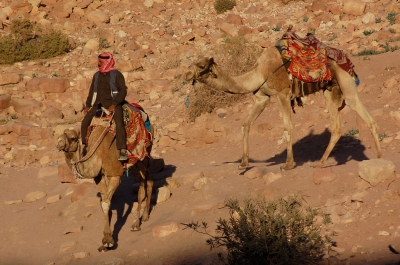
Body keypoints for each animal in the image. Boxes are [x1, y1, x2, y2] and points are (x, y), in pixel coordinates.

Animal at [57, 122, 154, 251]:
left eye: (72, 138)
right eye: (59, 135)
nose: (59, 142)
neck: (98, 155)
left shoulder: (115, 175)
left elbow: (106, 203)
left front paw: (108, 241)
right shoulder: (99, 177)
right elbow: (104, 202)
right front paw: (104, 243)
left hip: (142, 157)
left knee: (143, 186)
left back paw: (136, 223)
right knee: (149, 180)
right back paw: (145, 216)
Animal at [186, 44, 382, 169]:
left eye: (201, 65)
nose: (186, 74)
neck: (258, 73)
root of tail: (346, 59)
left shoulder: (283, 94)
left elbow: (287, 127)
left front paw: (288, 164)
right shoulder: (262, 98)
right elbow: (246, 125)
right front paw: (243, 163)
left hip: (344, 81)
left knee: (360, 109)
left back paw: (379, 157)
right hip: (330, 91)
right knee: (336, 128)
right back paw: (320, 163)